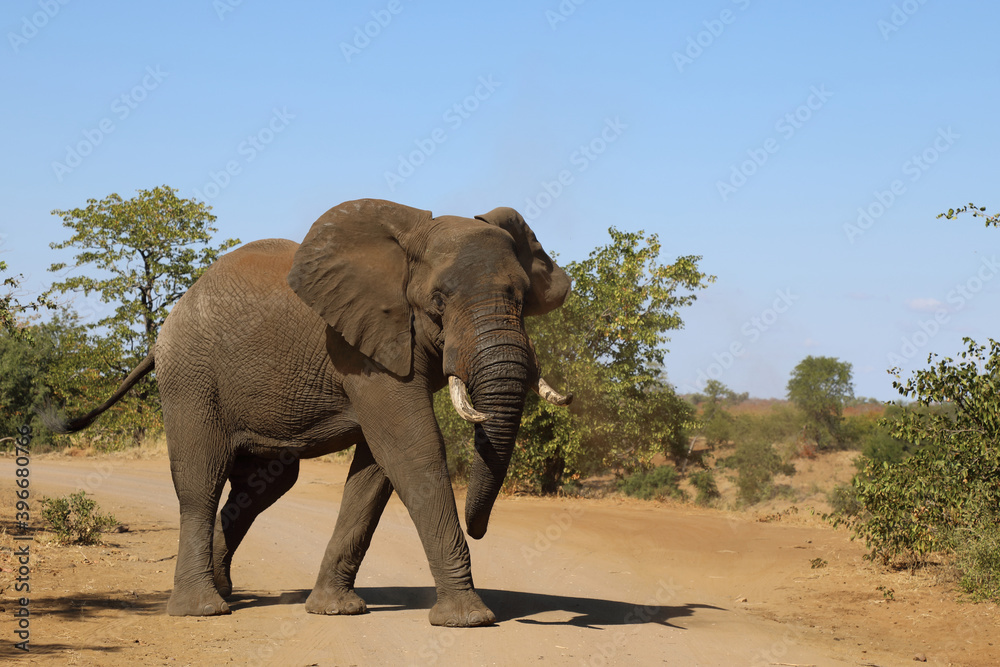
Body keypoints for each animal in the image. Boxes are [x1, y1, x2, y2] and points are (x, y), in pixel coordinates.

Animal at [48, 198, 572, 627]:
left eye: (522, 298)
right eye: (438, 301)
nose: (478, 528)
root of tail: (167, 326)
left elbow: (376, 468)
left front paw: (334, 610)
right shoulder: (359, 348)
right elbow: (412, 449)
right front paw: (470, 619)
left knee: (261, 489)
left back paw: (225, 592)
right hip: (192, 379)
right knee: (201, 479)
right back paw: (203, 609)